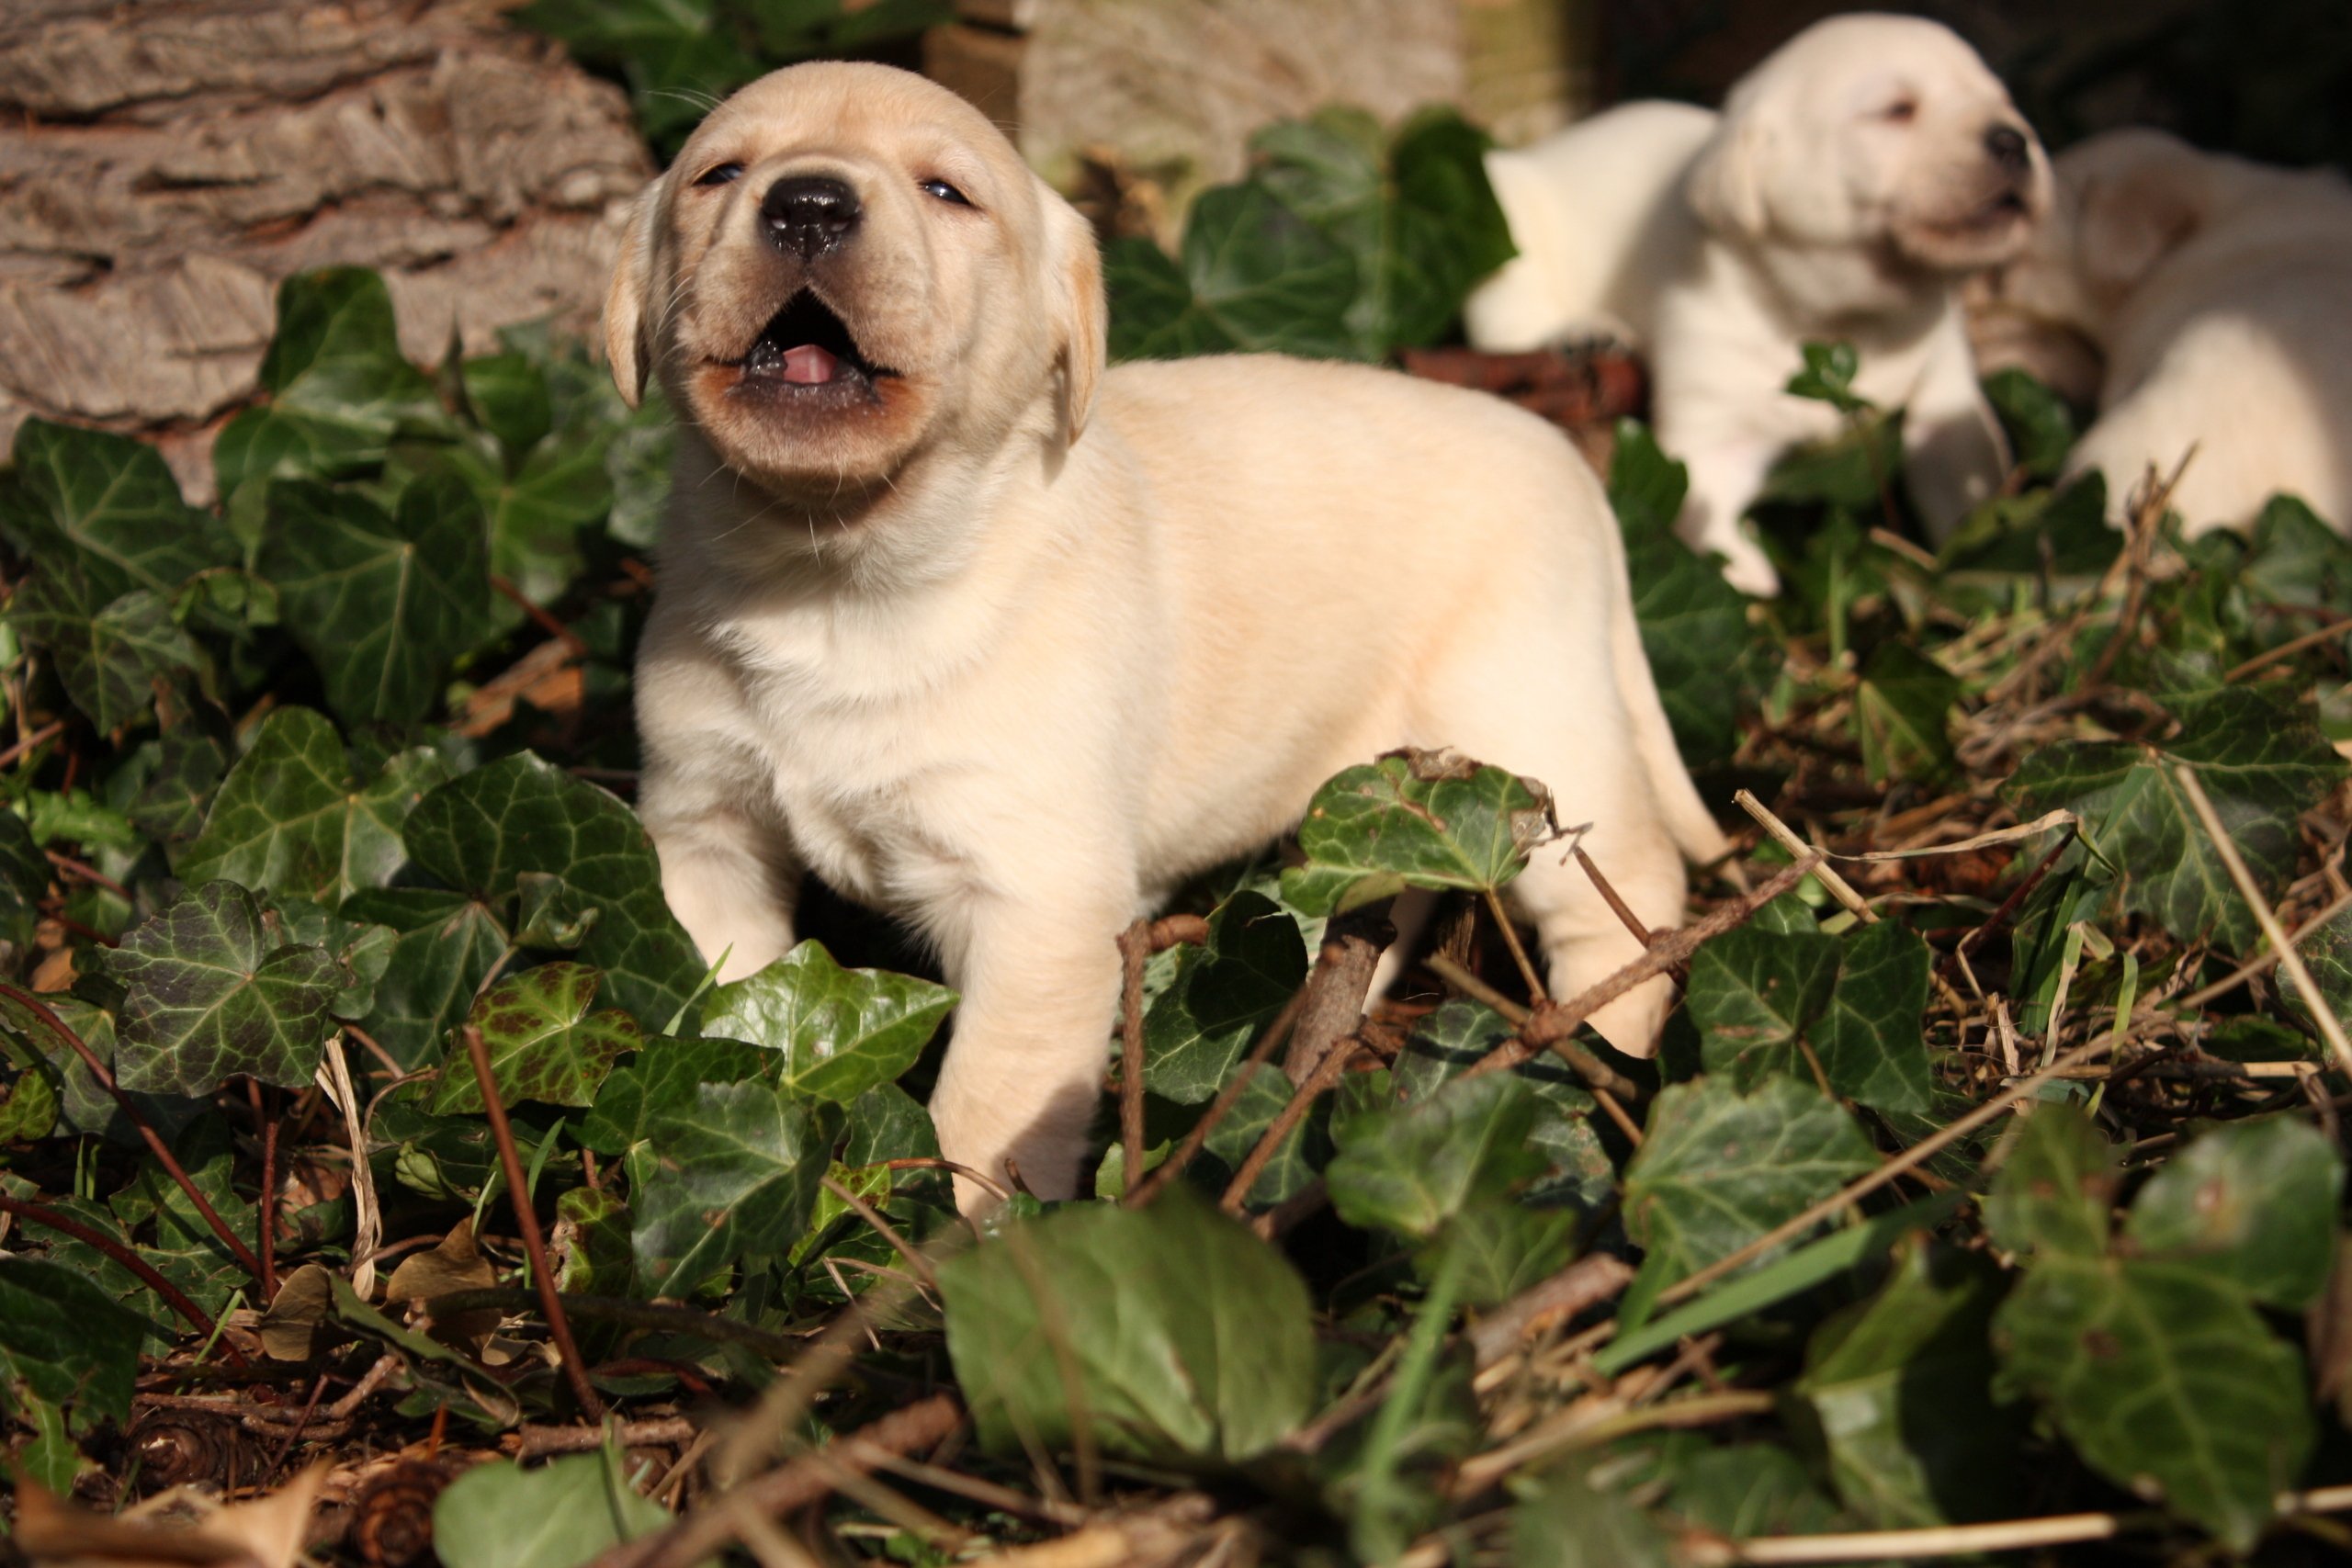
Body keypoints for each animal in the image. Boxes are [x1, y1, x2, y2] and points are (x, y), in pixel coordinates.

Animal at [606, 64, 1731, 1213]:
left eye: (946, 192)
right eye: (718, 173)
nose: (808, 203)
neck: (834, 572)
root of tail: (1574, 464)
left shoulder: (1038, 903)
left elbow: (985, 1119)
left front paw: (970, 1239)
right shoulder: (704, 831)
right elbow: (726, 992)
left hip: (1534, 725)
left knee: (1628, 885)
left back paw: (1601, 1051)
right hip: (1381, 795)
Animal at [1467, 12, 2041, 594]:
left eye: (2003, 99)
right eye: (1897, 109)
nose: (2014, 139)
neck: (1843, 321)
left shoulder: (1947, 379)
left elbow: (1965, 463)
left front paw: (1979, 550)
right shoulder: (1711, 411)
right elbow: (1703, 498)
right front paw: (1740, 569)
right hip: (1506, 215)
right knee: (1509, 313)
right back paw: (1582, 333)